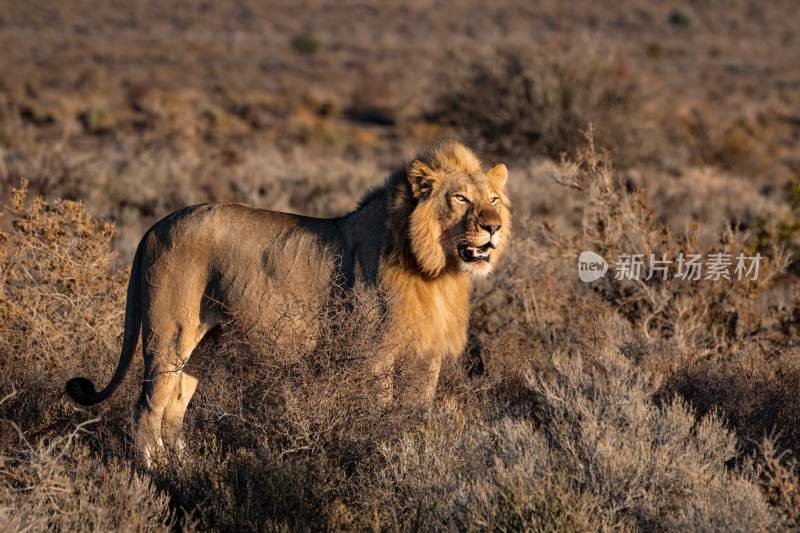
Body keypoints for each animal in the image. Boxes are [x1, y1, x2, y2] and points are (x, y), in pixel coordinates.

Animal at [65, 139, 510, 464]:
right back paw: (153, 474)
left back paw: (185, 469)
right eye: (460, 199)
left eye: (493, 199)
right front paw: (380, 453)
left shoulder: (426, 357)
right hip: (168, 335)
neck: (436, 271)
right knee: (146, 409)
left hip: (203, 346)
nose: (493, 227)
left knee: (174, 411)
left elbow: (415, 414)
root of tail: (154, 227)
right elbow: (380, 414)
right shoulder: (375, 355)